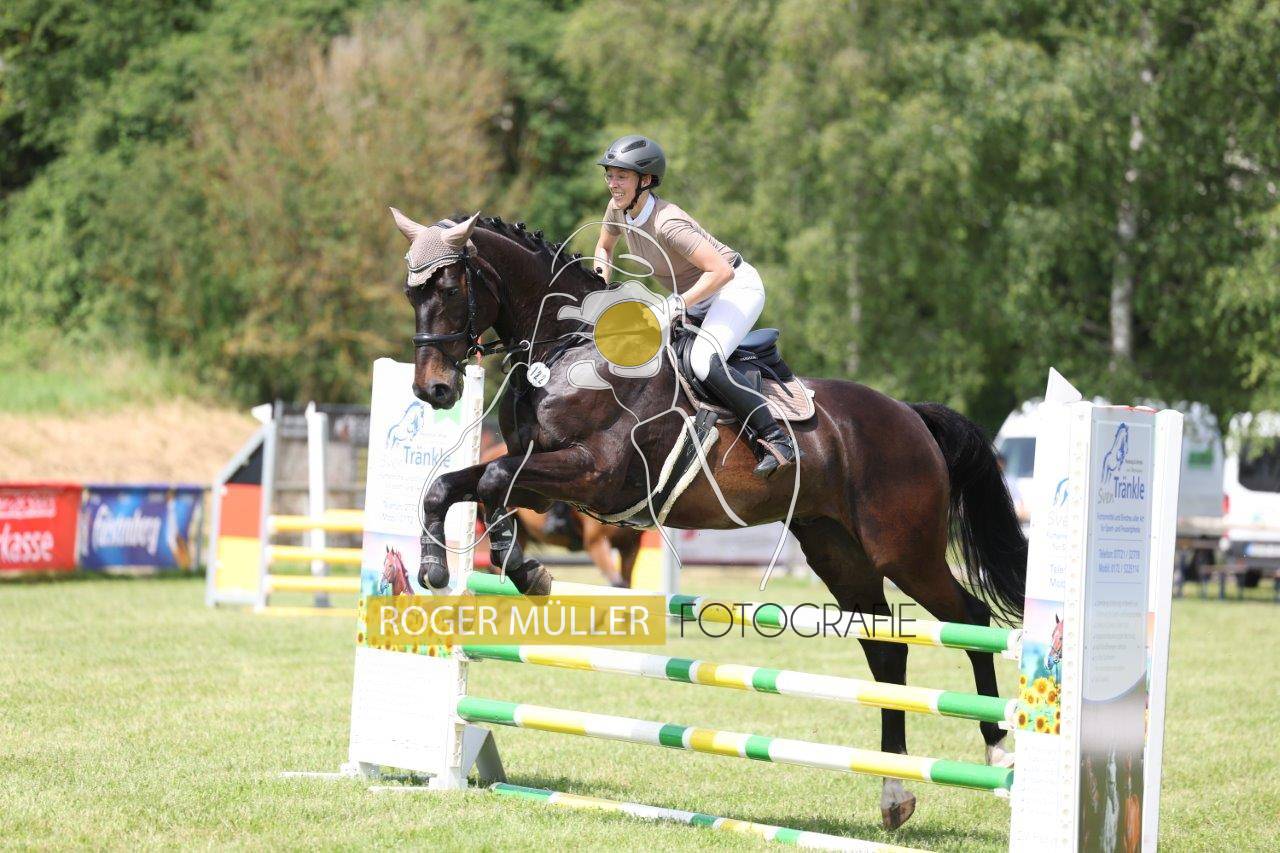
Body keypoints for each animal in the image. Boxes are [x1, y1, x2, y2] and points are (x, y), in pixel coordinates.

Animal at [391, 208, 1028, 830]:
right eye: (410, 292)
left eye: (450, 287)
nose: (434, 390)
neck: (570, 350)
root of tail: (911, 415)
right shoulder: (544, 481)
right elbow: (448, 487)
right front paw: (440, 570)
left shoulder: (594, 474)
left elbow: (491, 482)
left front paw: (523, 570)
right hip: (837, 551)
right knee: (887, 651)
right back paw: (894, 793)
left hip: (905, 551)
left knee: (971, 621)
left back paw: (999, 750)